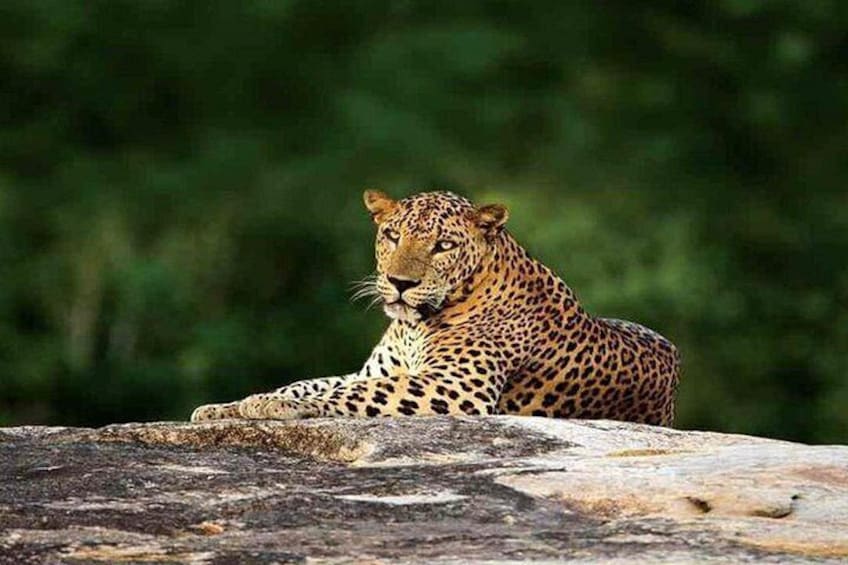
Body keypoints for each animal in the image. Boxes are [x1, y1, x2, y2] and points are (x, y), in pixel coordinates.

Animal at [190, 190, 680, 426]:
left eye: (443, 245)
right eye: (392, 236)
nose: (400, 284)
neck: (413, 326)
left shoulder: (453, 386)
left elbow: (346, 395)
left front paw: (264, 405)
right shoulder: (376, 371)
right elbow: (306, 384)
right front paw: (226, 407)